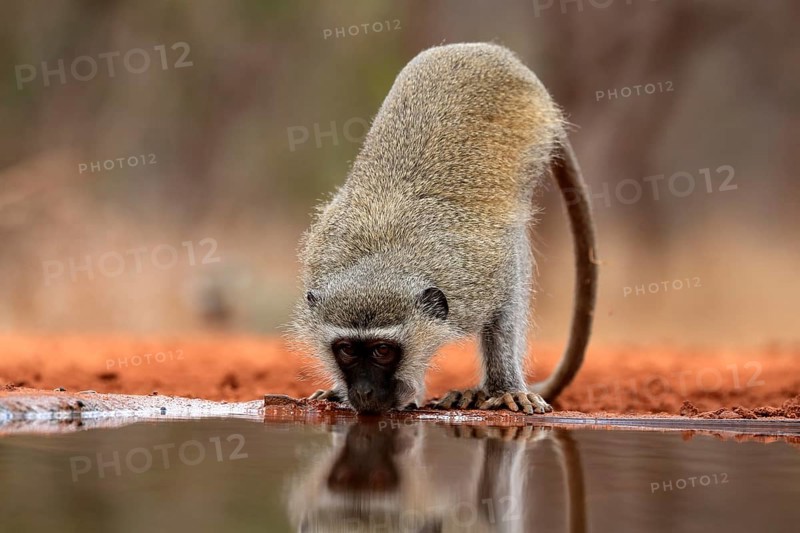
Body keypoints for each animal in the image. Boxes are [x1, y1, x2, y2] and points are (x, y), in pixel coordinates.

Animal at [291, 42, 598, 415]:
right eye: (347, 350)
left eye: (382, 350)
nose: (363, 392)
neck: (380, 257)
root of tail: (491, 52)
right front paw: (343, 391)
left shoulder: (479, 275)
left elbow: (508, 297)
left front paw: (504, 388)